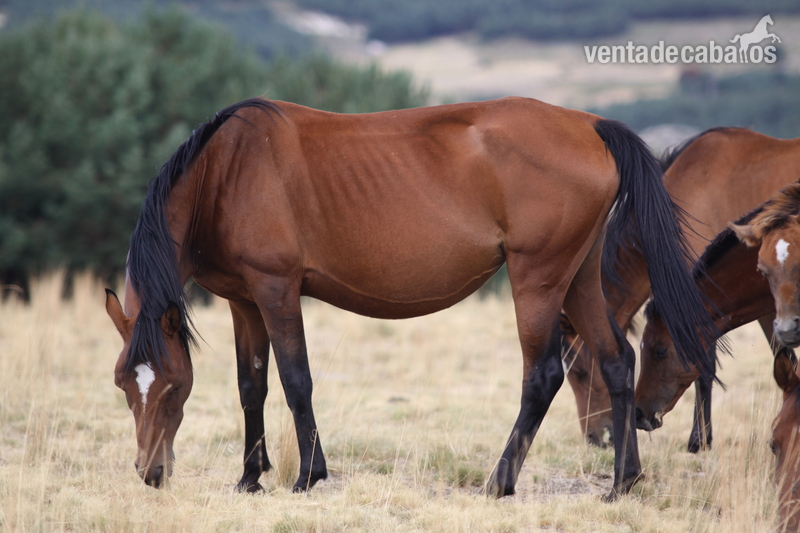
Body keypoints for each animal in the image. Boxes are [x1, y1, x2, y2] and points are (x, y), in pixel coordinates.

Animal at [104, 96, 715, 499]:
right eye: (124, 385)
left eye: (172, 385)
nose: (150, 472)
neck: (227, 170)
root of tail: (590, 124)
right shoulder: (244, 301)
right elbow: (251, 386)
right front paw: (250, 478)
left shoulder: (276, 290)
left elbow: (296, 380)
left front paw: (307, 476)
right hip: (579, 278)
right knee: (616, 360)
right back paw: (622, 483)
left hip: (538, 281)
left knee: (542, 376)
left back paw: (499, 483)